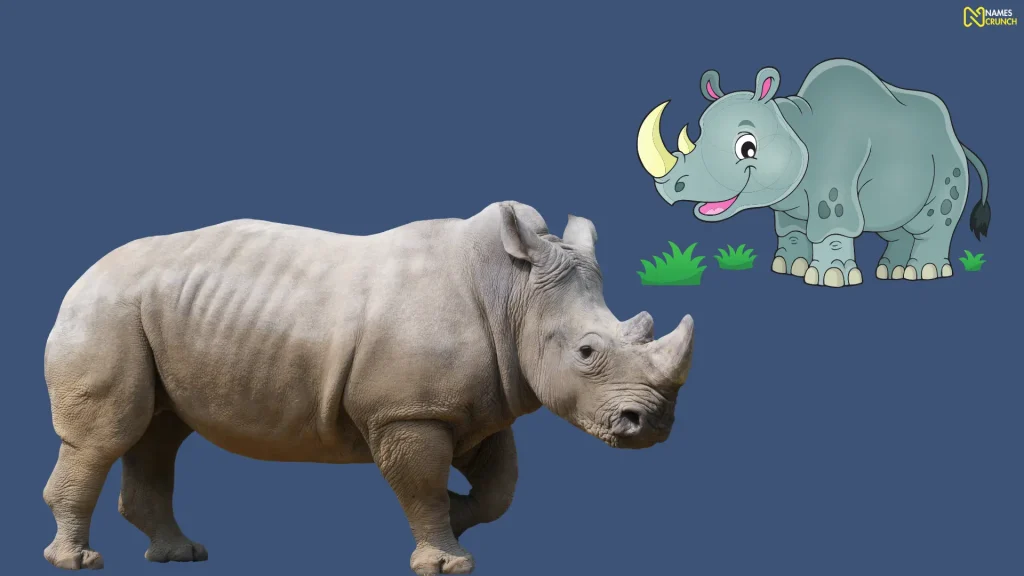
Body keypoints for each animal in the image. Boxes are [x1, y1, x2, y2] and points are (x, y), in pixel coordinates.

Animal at [41, 201, 695, 575]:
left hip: (150, 312)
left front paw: (459, 514)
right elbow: (424, 484)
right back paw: (79, 562)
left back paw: (181, 555)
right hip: (104, 309)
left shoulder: (482, 406)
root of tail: (84, 273)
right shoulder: (410, 411)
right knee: (110, 435)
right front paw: (447, 562)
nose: (652, 426)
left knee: (159, 434)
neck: (513, 294)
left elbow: (500, 489)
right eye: (586, 353)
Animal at [636, 58, 992, 287]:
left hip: (945, 155)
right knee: (893, 224)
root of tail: (956, 136)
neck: (794, 125)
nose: (671, 187)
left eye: (747, 148)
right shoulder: (788, 200)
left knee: (933, 220)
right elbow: (792, 229)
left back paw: (923, 274)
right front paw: (790, 267)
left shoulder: (834, 179)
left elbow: (831, 222)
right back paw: (890, 272)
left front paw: (831, 278)